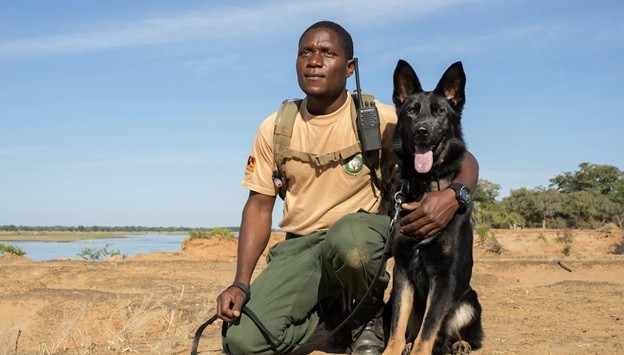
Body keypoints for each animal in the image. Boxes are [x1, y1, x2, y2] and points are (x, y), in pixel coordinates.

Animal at [382, 59, 486, 354]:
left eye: (440, 111)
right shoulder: (403, 270)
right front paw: (394, 349)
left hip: (469, 300)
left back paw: (459, 344)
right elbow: (397, 326)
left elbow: (428, 330)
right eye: (411, 111)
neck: (425, 185)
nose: (421, 132)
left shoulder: (444, 277)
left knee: (459, 334)